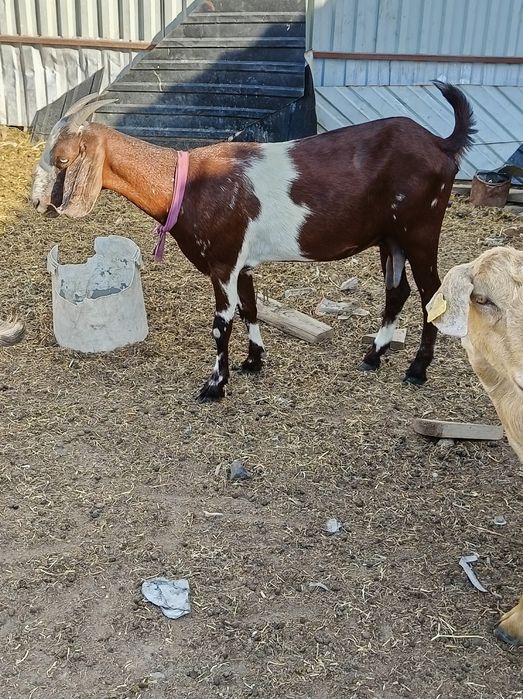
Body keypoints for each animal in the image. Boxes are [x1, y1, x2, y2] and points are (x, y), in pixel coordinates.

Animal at [32, 83, 475, 401]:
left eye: (64, 159)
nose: (36, 202)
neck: (186, 185)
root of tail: (440, 144)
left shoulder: (223, 261)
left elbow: (221, 323)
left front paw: (214, 385)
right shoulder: (242, 263)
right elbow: (250, 310)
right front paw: (253, 362)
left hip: (420, 229)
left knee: (432, 293)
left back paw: (416, 370)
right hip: (390, 237)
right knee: (397, 291)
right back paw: (373, 356)